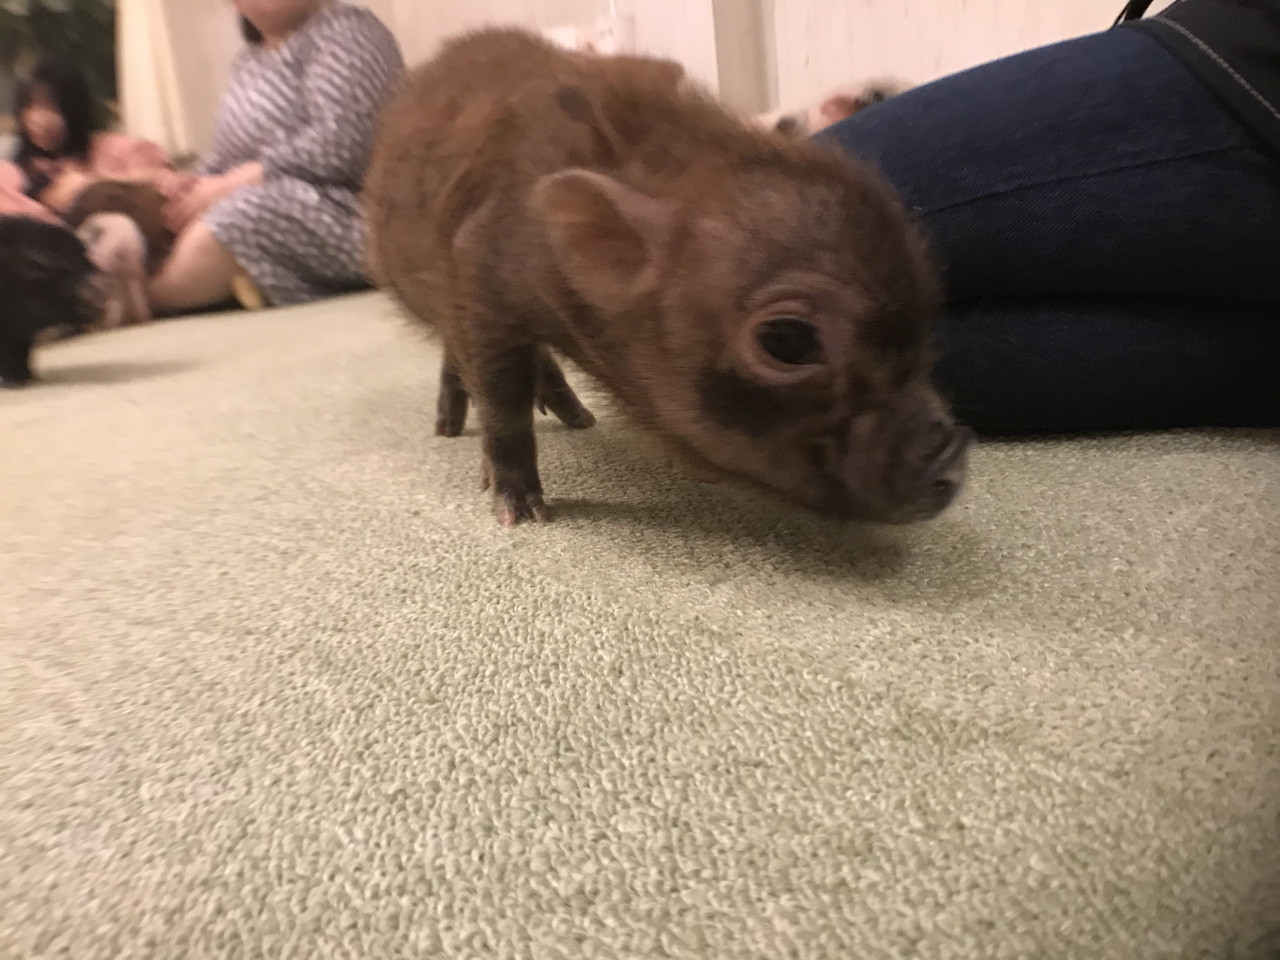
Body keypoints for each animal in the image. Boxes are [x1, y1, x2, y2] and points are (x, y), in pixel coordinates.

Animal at [363, 27, 971, 528]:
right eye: (787, 339)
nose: (955, 452)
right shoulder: (480, 276)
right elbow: (501, 400)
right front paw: (522, 514)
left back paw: (578, 418)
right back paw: (450, 430)